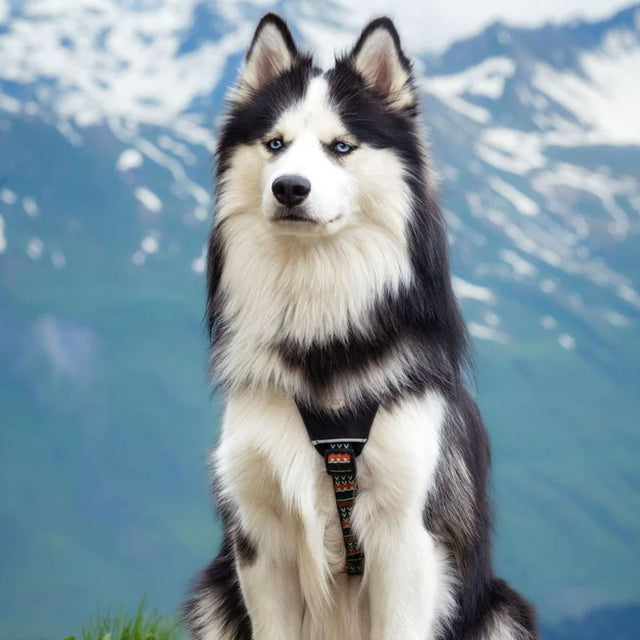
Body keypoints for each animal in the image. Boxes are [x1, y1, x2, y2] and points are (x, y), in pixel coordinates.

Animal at [184, 13, 539, 640]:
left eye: (341, 147)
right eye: (275, 143)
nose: (289, 187)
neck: (321, 335)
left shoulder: (407, 534)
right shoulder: (259, 537)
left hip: (502, 608)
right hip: (213, 591)